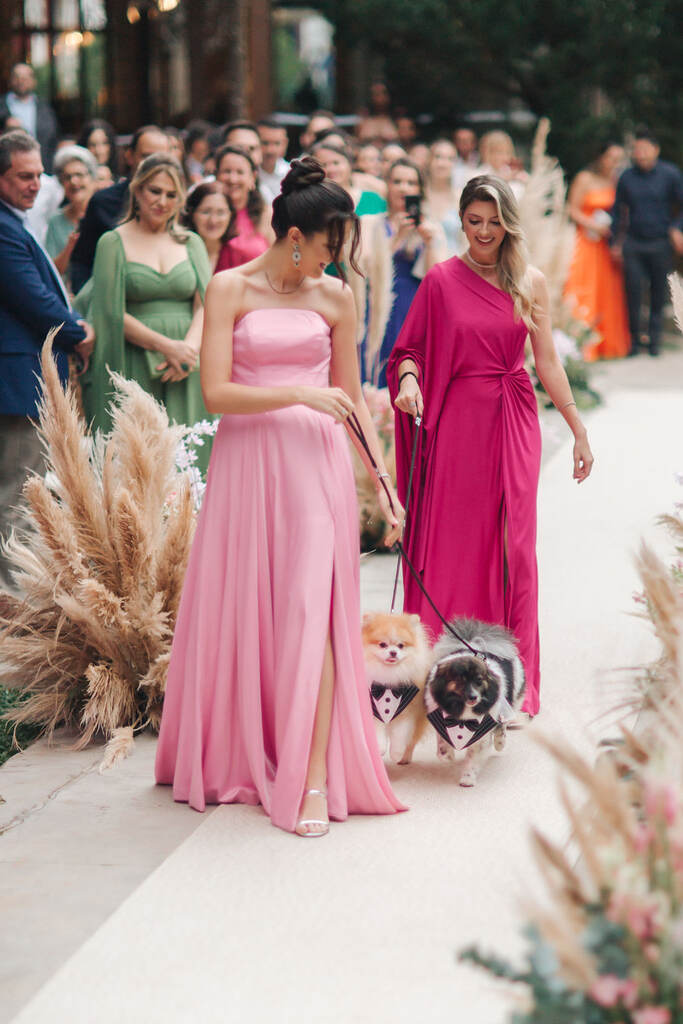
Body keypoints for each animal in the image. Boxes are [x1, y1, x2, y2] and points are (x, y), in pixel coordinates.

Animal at [360, 610, 430, 765]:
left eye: (400, 646)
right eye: (382, 644)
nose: (393, 652)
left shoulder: (407, 712)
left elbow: (400, 735)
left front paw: (396, 754)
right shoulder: (374, 711)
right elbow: (378, 734)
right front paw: (380, 750)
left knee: (411, 742)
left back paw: (404, 758)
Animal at [423, 614, 528, 790]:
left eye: (479, 681)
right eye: (459, 680)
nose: (473, 697)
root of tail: (477, 644)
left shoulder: (482, 733)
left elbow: (473, 759)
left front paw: (467, 778)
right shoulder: (440, 719)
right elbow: (442, 746)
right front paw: (448, 757)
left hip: (510, 701)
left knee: (503, 724)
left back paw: (500, 742)